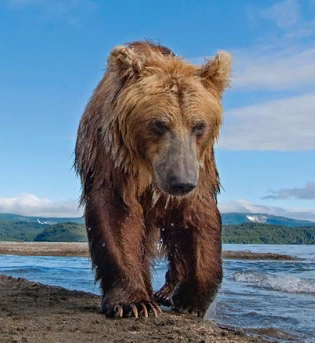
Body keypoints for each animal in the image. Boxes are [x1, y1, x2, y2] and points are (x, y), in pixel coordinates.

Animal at [74, 40, 232, 320]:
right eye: (158, 124)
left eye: (199, 125)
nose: (181, 182)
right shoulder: (113, 159)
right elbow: (117, 214)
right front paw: (133, 302)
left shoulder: (200, 168)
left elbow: (199, 218)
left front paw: (190, 299)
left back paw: (167, 292)